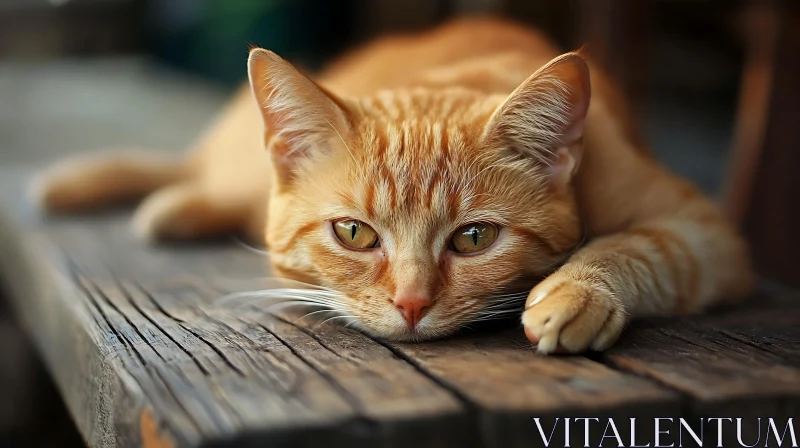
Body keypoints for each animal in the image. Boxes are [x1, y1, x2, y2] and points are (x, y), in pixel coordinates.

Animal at [32, 18, 756, 354]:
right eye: (354, 233)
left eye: (474, 238)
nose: (411, 304)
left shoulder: (705, 231)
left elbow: (642, 248)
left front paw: (578, 292)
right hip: (235, 161)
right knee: (193, 168)